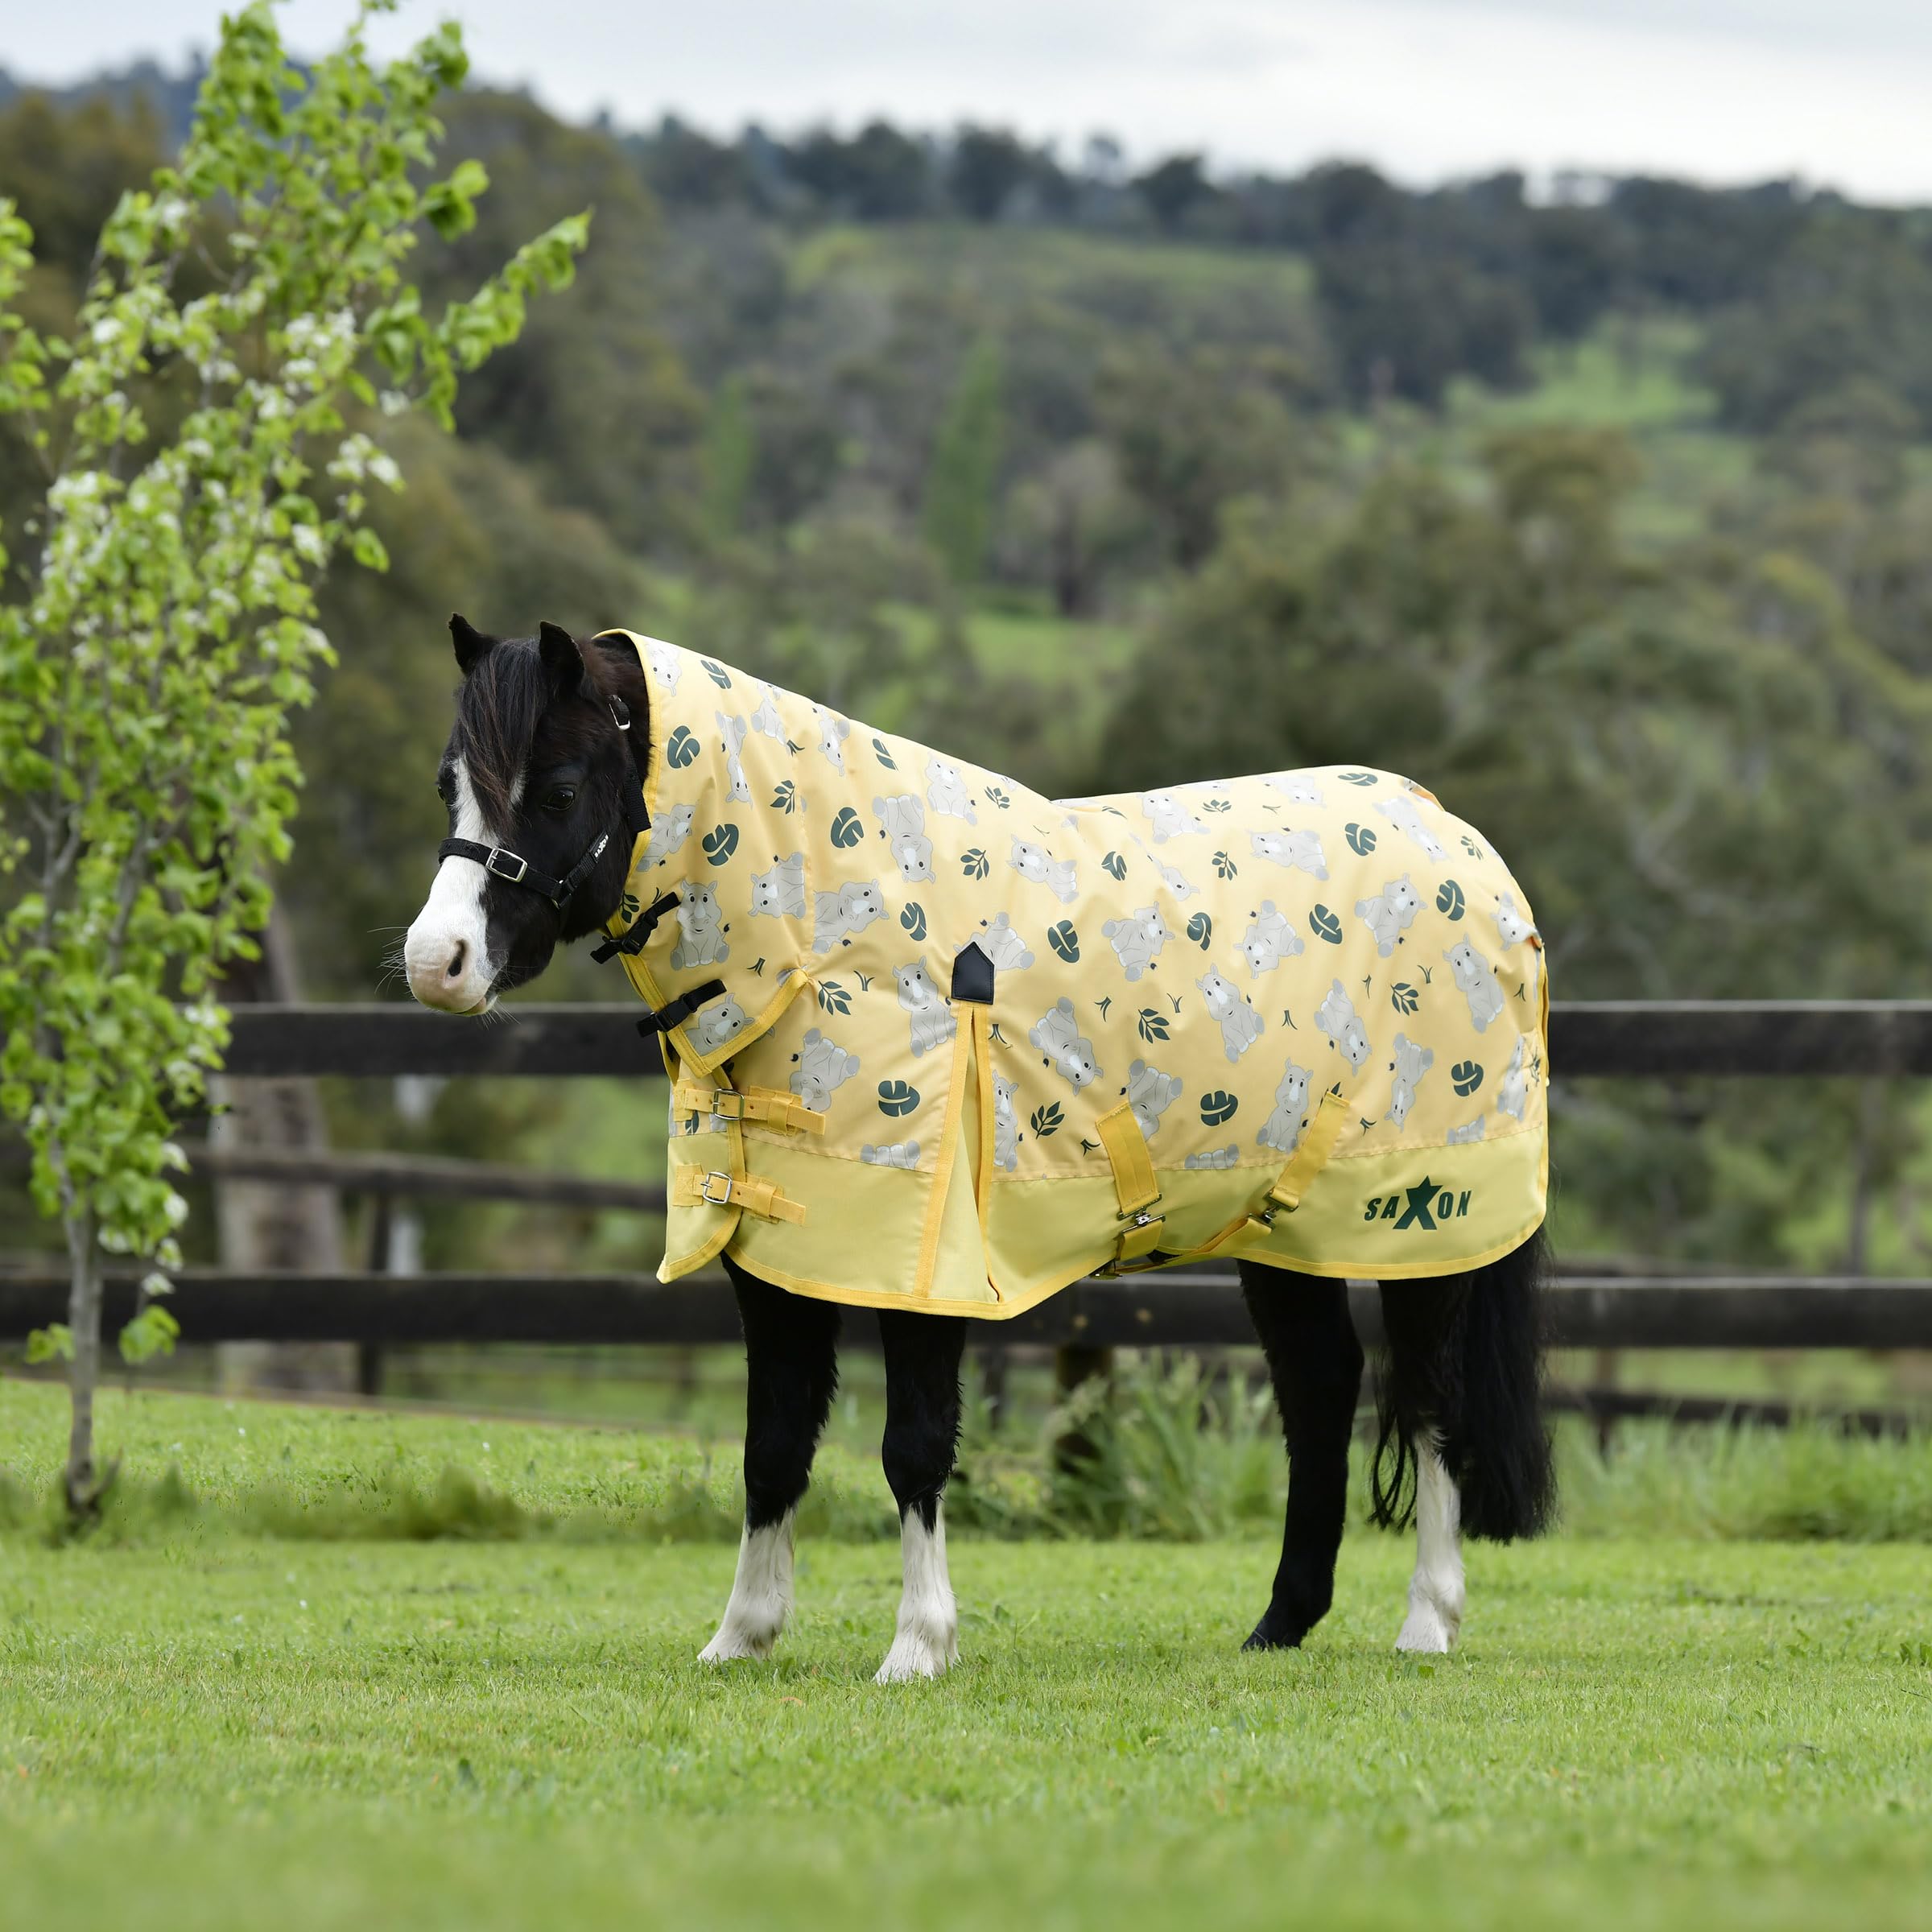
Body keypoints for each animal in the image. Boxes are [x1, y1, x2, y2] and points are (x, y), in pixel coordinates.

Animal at [403, 615, 1554, 1681]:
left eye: (558, 787)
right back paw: (1280, 1626)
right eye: (449, 785)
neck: (834, 937)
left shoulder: (928, 1266)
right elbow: (772, 1445)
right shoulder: (776, 1260)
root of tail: (1462, 845)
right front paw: (742, 1637)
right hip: (1280, 1229)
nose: (436, 962)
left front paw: (918, 1645)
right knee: (1323, 1390)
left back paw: (1427, 1623)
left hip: (1421, 1227)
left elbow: (912, 1446)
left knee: (1430, 1400)